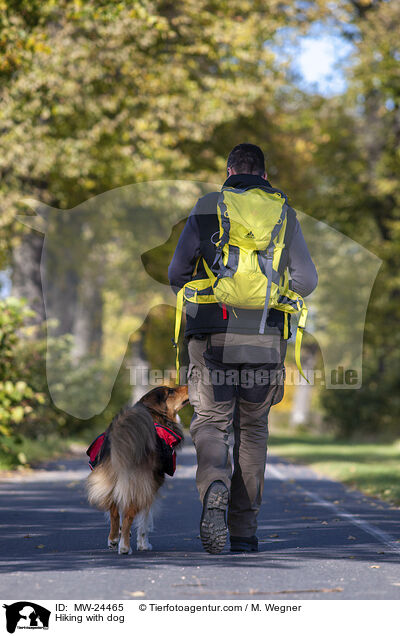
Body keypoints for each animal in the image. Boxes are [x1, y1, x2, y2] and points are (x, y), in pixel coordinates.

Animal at [85, 386, 188, 556]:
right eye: (171, 392)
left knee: (114, 510)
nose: (188, 385)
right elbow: (145, 521)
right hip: (138, 481)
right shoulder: (151, 486)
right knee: (128, 515)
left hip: (112, 476)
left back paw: (114, 539)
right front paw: (143, 544)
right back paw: (124, 547)